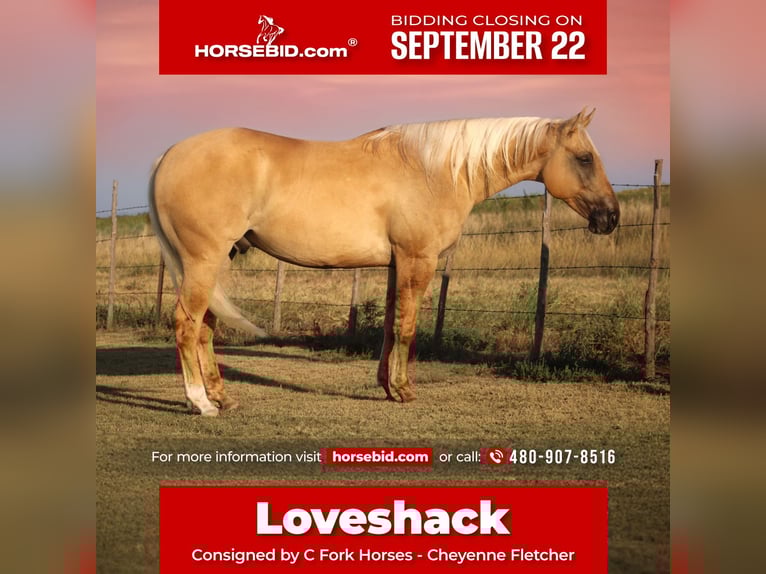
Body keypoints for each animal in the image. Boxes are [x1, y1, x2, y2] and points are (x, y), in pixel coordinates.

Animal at [148, 108, 620, 416]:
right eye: (584, 158)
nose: (611, 217)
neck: (436, 170)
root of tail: (168, 155)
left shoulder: (398, 263)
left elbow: (392, 322)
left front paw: (387, 386)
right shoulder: (418, 259)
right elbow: (407, 326)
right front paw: (404, 390)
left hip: (216, 263)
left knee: (205, 327)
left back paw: (221, 397)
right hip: (204, 261)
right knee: (186, 325)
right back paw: (200, 402)